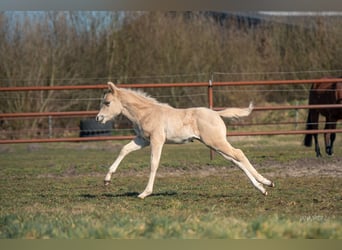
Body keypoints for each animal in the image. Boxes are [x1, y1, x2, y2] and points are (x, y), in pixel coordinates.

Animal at [96, 82, 276, 199]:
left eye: (107, 102)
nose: (98, 118)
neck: (147, 113)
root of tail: (217, 113)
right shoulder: (143, 140)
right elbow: (124, 150)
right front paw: (107, 179)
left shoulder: (156, 140)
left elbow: (154, 163)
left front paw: (145, 193)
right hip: (215, 146)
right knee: (235, 161)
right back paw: (262, 188)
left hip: (216, 142)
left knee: (239, 154)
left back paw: (266, 182)